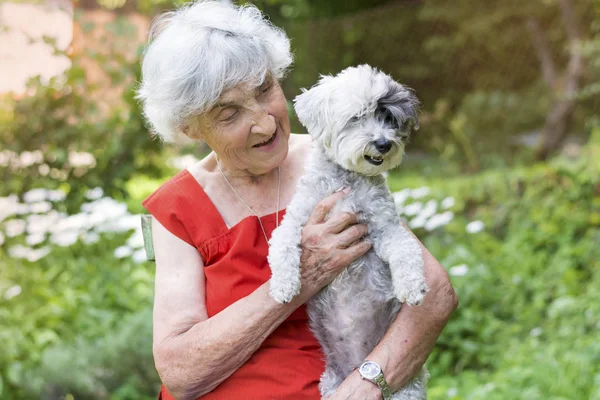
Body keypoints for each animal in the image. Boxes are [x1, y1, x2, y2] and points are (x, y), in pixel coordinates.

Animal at [270, 64, 428, 398]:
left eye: (388, 118)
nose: (384, 144)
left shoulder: (385, 226)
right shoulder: (297, 220)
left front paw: (412, 287)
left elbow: (406, 248)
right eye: (356, 117)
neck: (347, 180)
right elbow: (282, 244)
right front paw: (283, 286)